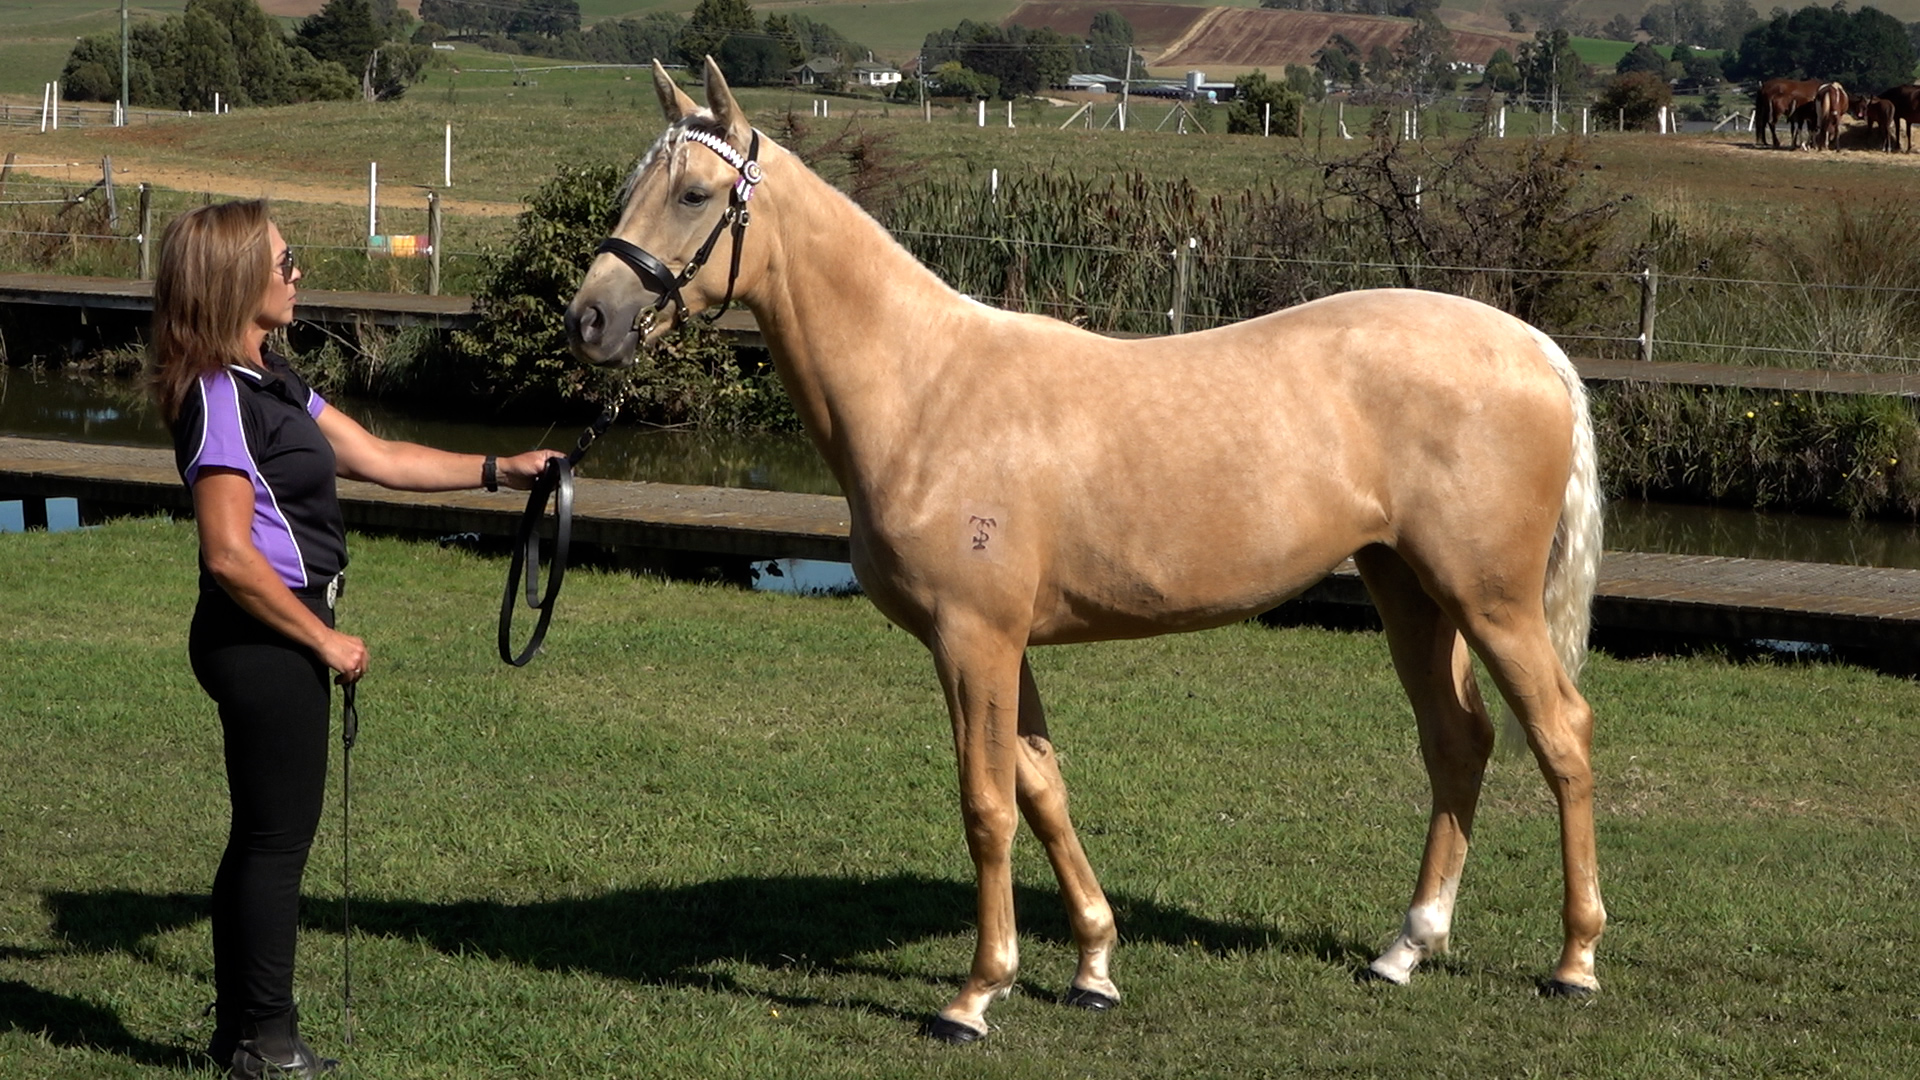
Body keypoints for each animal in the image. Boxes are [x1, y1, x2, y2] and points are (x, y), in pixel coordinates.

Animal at [566, 58, 1608, 1043]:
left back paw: (1575, 961)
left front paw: (976, 994)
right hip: (1411, 592)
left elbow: (987, 806)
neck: (926, 386)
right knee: (1458, 740)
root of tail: (1535, 348)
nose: (590, 321)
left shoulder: (973, 639)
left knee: (1561, 735)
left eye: (695, 194)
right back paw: (1405, 948)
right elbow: (1043, 789)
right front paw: (1094, 968)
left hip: (1490, 601)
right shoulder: (1004, 645)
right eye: (630, 188)